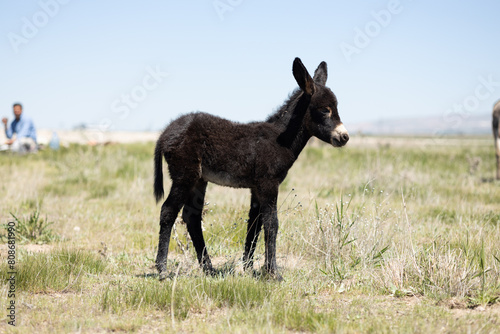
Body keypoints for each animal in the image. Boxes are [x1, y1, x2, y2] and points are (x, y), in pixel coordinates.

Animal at [154, 57, 350, 280]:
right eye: (325, 109)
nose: (344, 137)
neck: (280, 138)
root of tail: (165, 132)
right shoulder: (268, 183)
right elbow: (272, 223)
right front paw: (273, 273)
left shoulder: (257, 187)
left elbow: (255, 224)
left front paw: (249, 268)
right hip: (184, 175)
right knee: (168, 211)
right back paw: (162, 269)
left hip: (198, 180)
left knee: (192, 218)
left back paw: (209, 269)